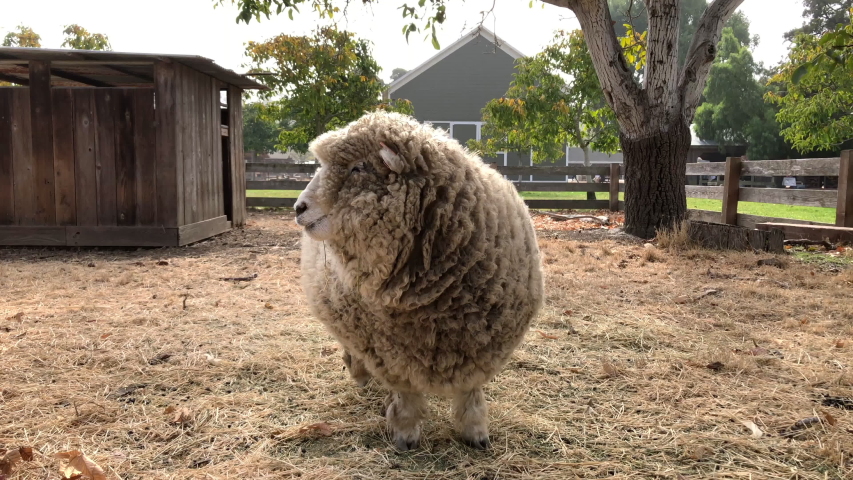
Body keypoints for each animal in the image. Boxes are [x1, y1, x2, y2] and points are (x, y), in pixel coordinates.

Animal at [294, 111, 544, 451]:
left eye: (359, 167)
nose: (298, 208)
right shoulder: (387, 351)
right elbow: (406, 393)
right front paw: (405, 433)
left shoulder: (481, 343)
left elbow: (472, 391)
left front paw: (476, 432)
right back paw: (359, 373)